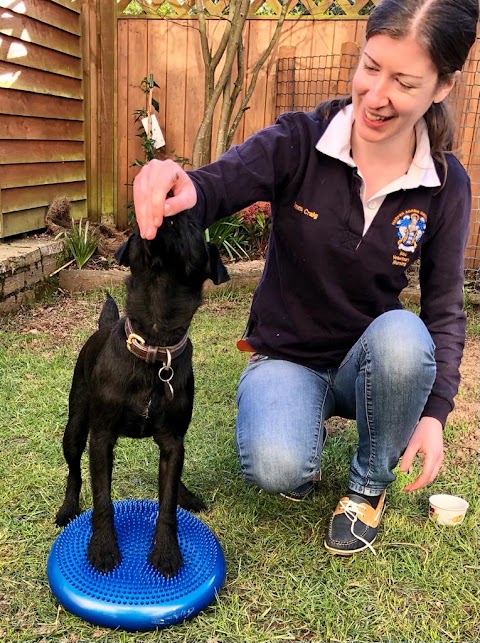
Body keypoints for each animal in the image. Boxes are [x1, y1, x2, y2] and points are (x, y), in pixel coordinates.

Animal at [55, 213, 230, 580]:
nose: (172, 210)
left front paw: (166, 550)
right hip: (75, 428)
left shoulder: (173, 442)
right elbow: (102, 500)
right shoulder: (100, 439)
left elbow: (166, 505)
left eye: (194, 225)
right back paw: (67, 508)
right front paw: (103, 547)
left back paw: (186, 495)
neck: (154, 345)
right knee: (74, 472)